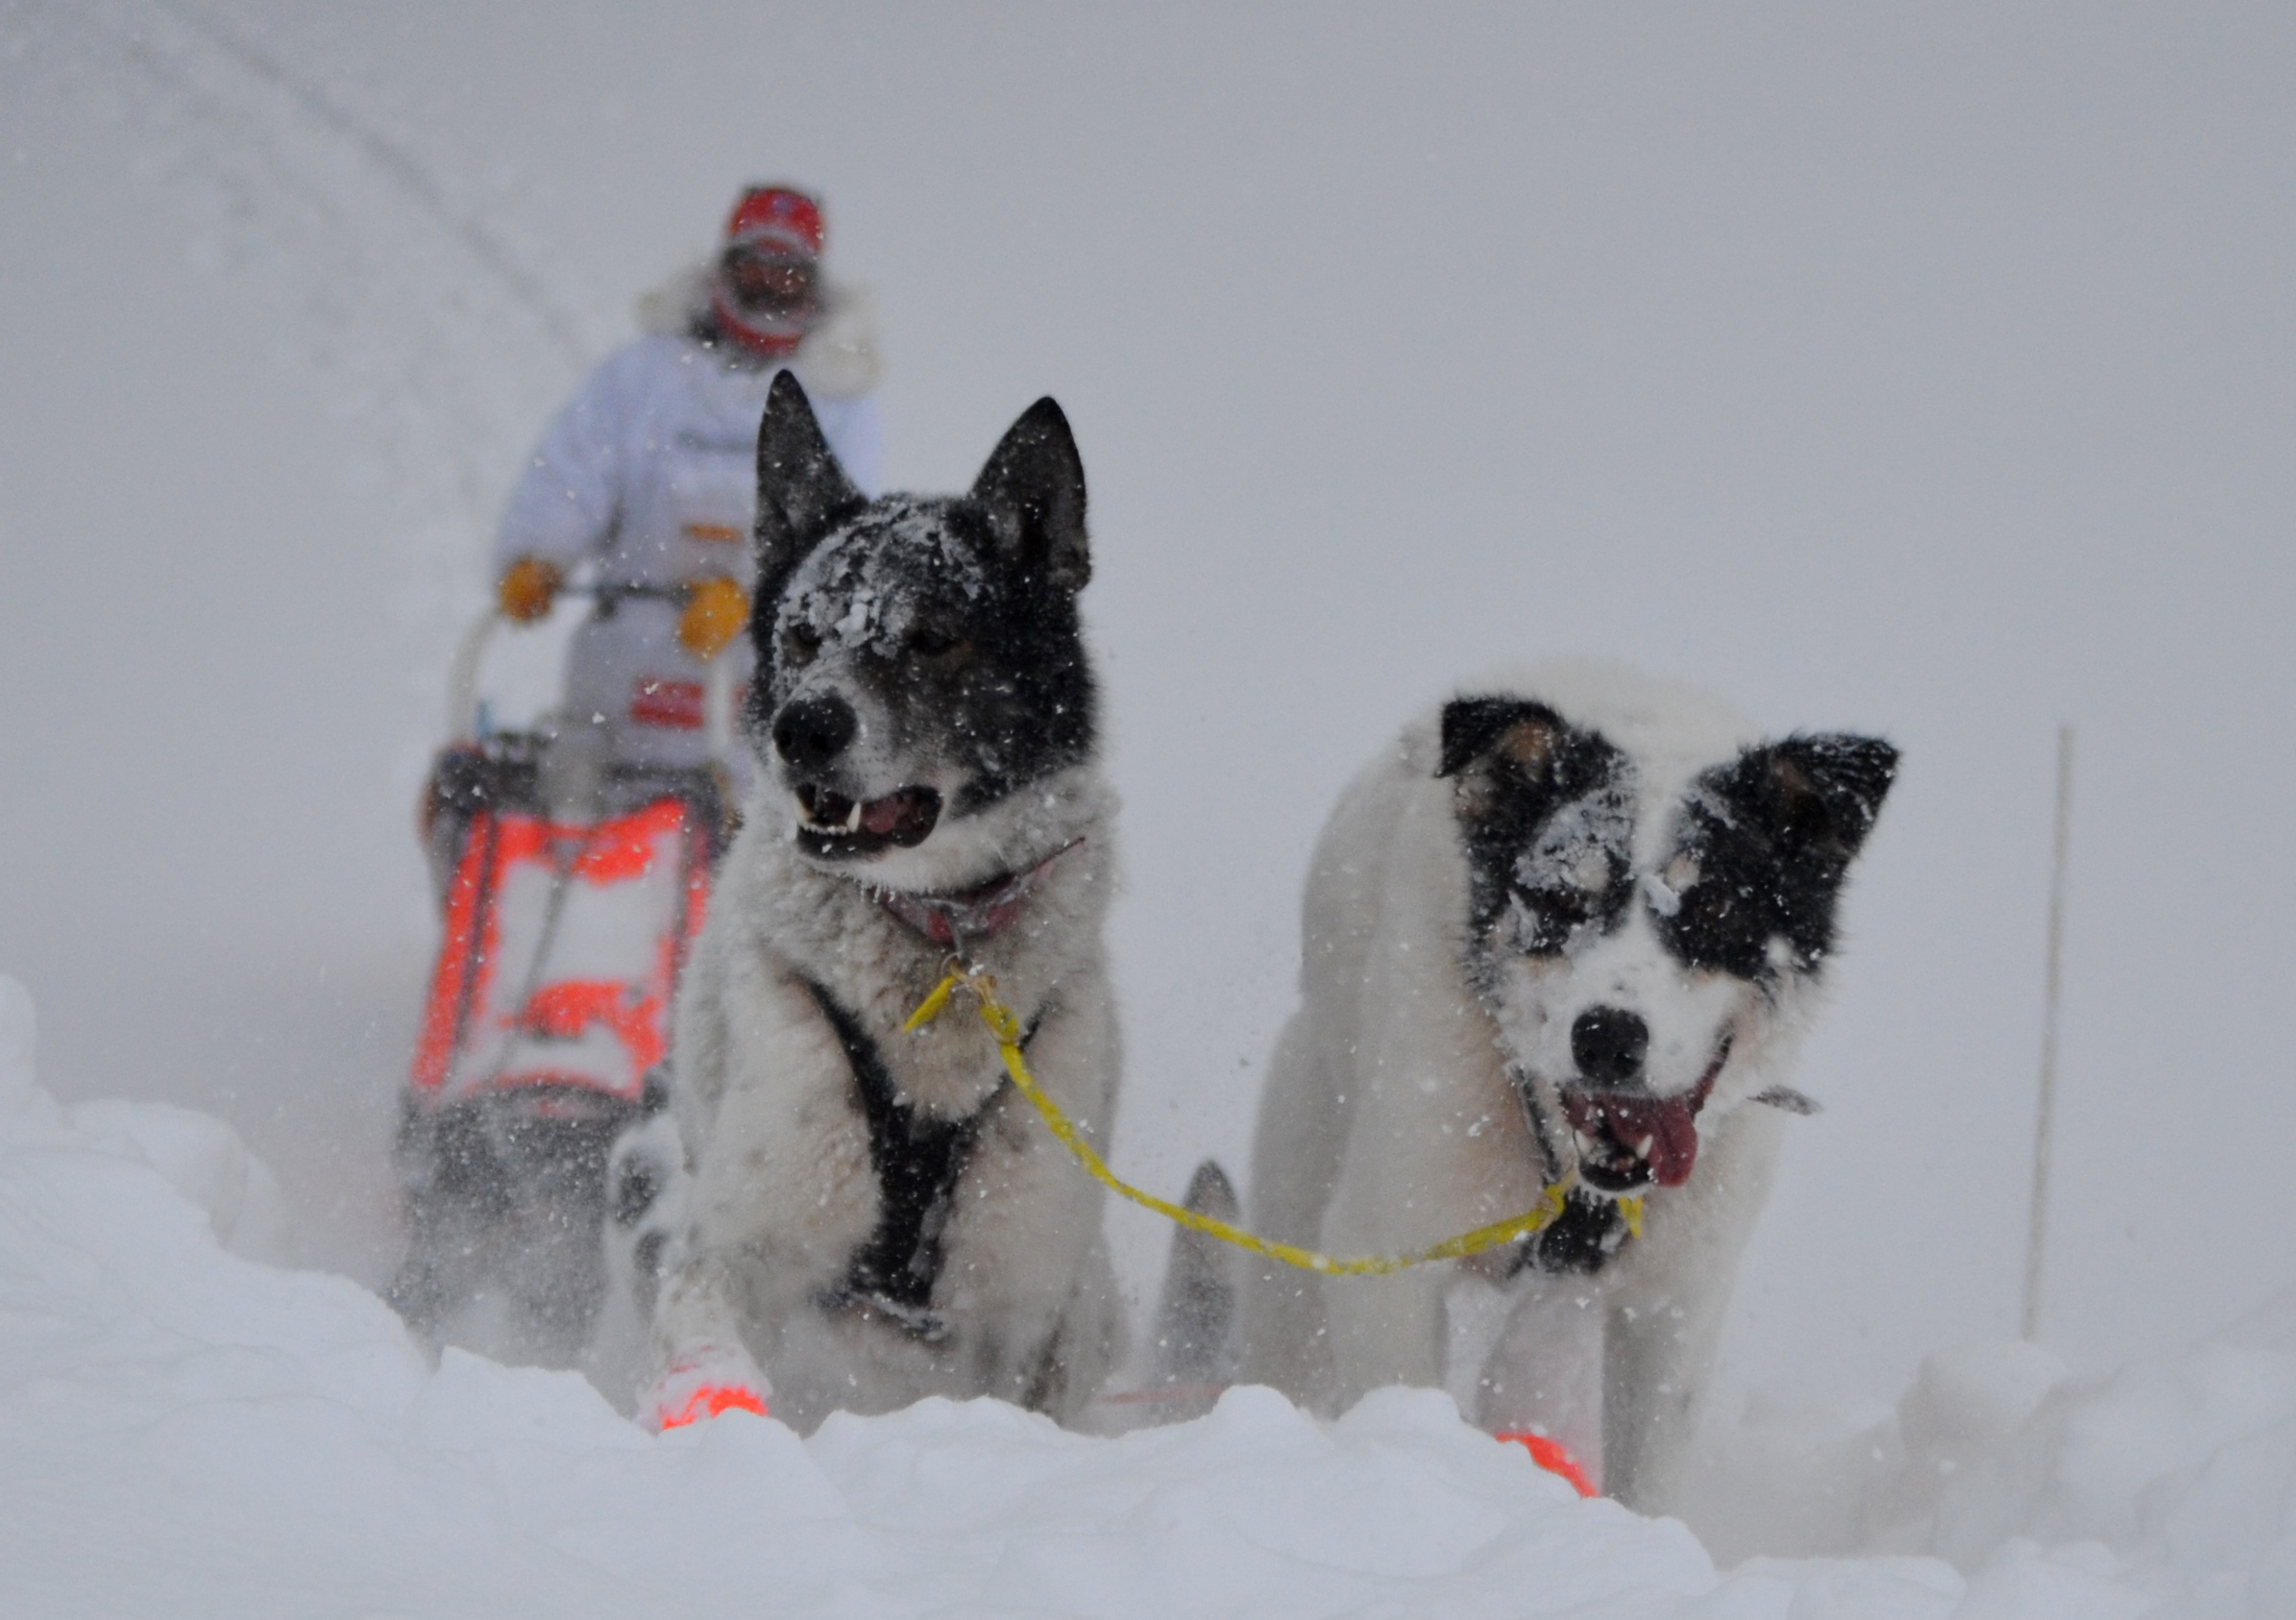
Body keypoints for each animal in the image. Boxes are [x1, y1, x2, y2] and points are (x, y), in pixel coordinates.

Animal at [633, 372, 1125, 1431]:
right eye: (802, 633)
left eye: (933, 638)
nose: (803, 727)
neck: (939, 939)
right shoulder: (737, 1241)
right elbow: (708, 1332)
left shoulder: (1021, 1309)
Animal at [1215, 663, 1896, 1511]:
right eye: (1563, 902)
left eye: (1712, 912)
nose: (1606, 1035)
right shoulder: (1386, 1252)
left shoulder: (1676, 1303)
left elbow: (1647, 1476)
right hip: (1301, 1199)